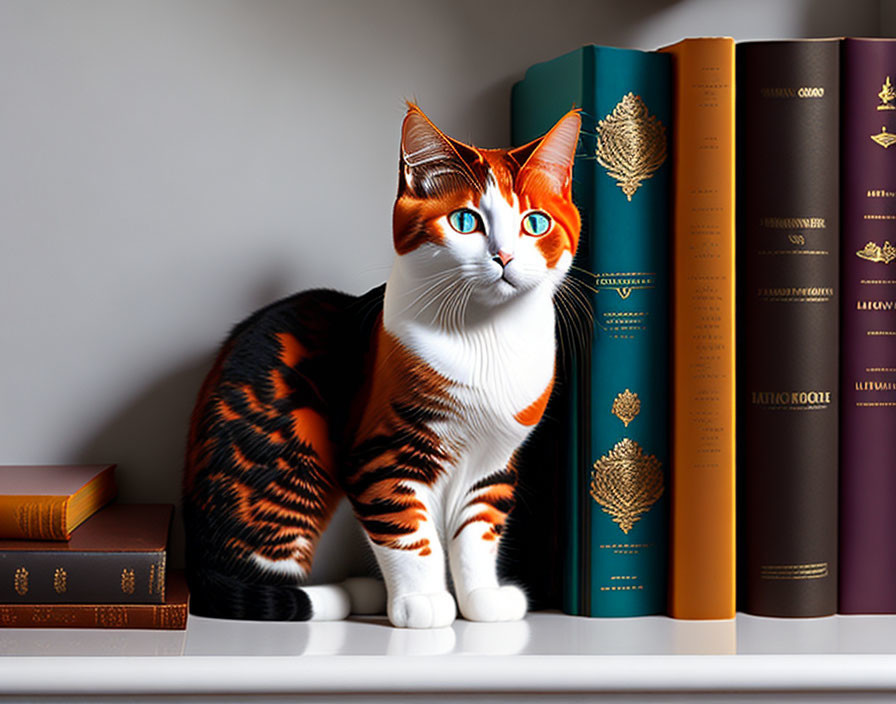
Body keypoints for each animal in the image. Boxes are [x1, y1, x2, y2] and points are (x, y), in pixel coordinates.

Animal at [182, 104, 580, 628]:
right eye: (464, 220)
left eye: (536, 224)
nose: (505, 256)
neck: (488, 338)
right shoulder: (383, 454)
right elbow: (409, 533)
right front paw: (423, 602)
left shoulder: (493, 464)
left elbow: (478, 534)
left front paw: (482, 600)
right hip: (295, 453)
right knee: (256, 584)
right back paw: (347, 593)